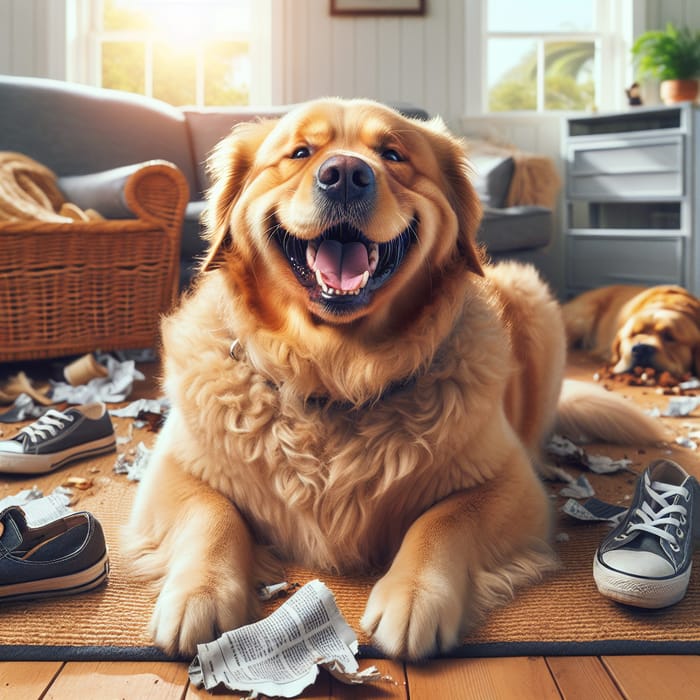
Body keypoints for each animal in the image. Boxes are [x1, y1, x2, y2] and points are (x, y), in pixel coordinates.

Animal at [124, 100, 668, 660]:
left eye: (392, 154)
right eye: (299, 152)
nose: (345, 175)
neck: (337, 372)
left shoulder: (511, 483)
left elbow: (444, 519)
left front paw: (416, 595)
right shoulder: (172, 470)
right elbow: (212, 514)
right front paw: (200, 592)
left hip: (533, 299)